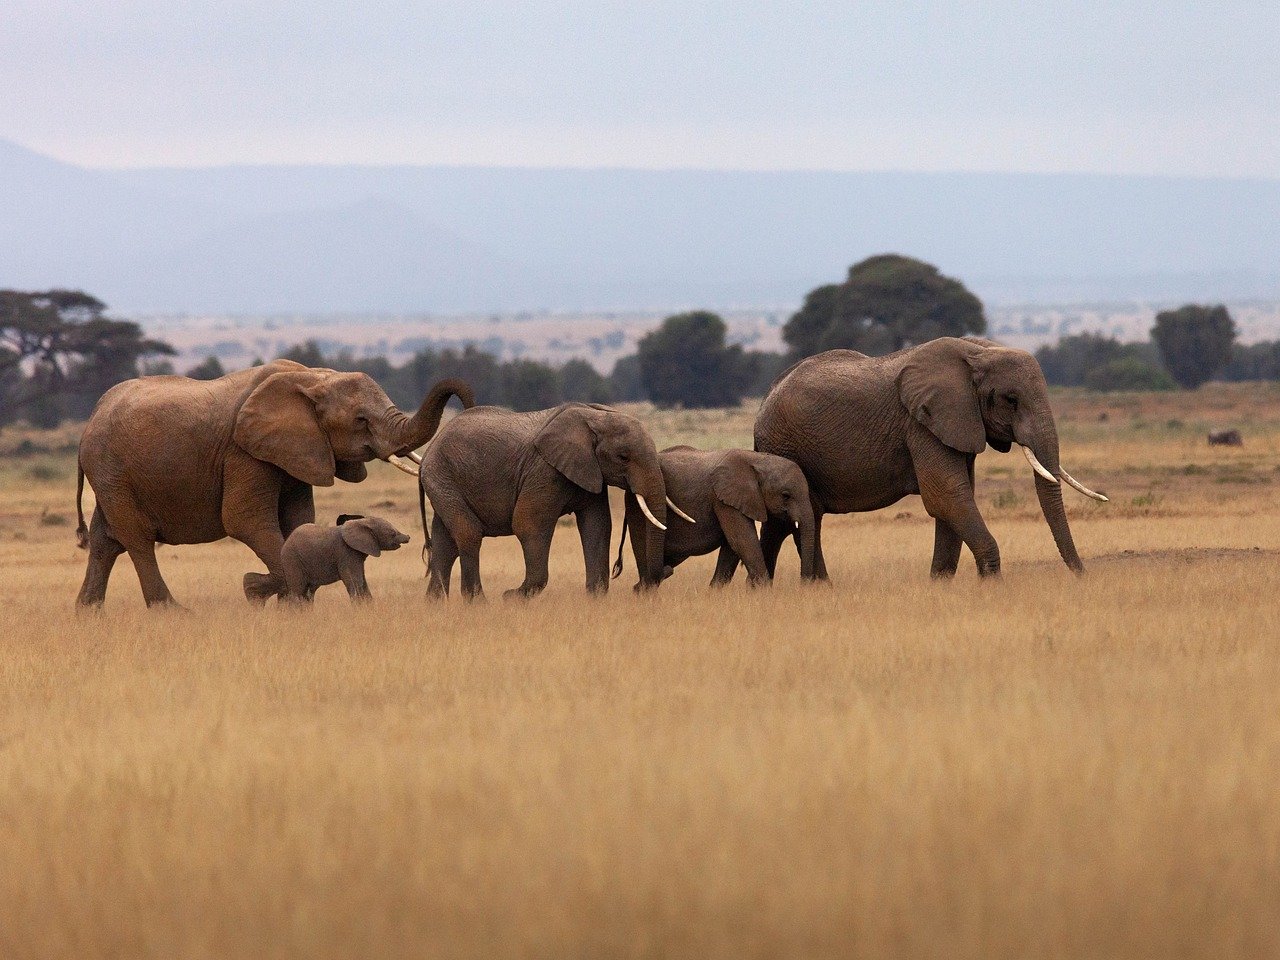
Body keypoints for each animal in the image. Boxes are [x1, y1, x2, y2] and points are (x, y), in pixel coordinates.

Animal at [279, 515, 410, 602]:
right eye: (392, 533)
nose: (408, 537)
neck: (362, 522)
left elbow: (362, 581)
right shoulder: (346, 553)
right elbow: (354, 581)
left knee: (309, 593)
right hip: (292, 560)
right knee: (298, 591)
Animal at [417, 402, 677, 599]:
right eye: (623, 457)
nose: (666, 569)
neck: (596, 416)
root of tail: (430, 449)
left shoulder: (590, 472)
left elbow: (597, 526)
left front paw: (595, 598)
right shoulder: (544, 470)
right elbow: (528, 524)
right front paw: (511, 597)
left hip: (444, 482)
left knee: (445, 543)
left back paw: (436, 605)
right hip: (442, 478)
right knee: (468, 534)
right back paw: (478, 602)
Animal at [612, 446, 817, 588]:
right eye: (785, 495)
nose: (804, 584)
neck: (757, 459)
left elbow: (731, 547)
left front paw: (715, 592)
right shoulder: (723, 499)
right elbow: (743, 541)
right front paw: (764, 592)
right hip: (636, 506)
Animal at [753, 337, 1107, 580]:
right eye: (1011, 399)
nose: (1081, 575)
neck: (977, 352)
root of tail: (765, 399)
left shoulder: (957, 423)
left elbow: (956, 498)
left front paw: (939, 583)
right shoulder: (921, 424)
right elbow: (948, 496)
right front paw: (991, 582)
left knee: (789, 522)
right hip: (784, 445)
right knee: (803, 518)